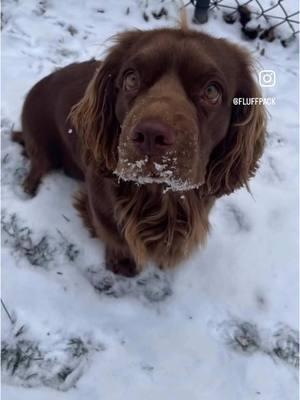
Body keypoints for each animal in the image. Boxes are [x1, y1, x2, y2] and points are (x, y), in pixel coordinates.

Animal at [13, 27, 268, 276]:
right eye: (132, 78)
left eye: (212, 91)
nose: (151, 135)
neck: (159, 195)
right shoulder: (100, 206)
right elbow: (114, 234)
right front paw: (122, 262)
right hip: (41, 143)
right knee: (35, 167)